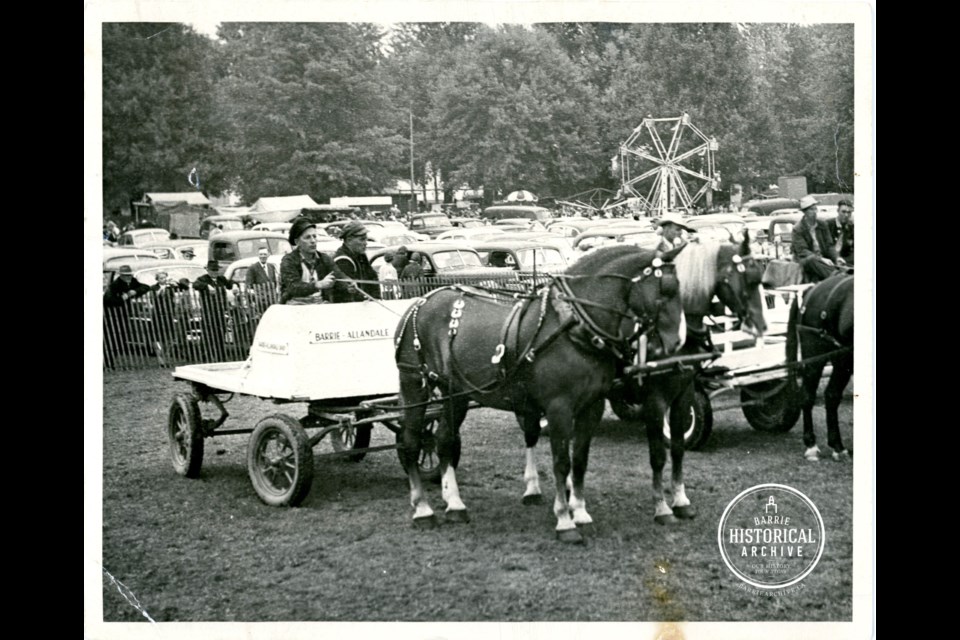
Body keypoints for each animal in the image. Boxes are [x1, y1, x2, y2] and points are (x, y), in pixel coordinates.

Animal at [394, 245, 688, 540]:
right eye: (665, 291)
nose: (676, 343)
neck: (574, 326)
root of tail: (422, 301)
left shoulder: (591, 406)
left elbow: (580, 459)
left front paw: (580, 512)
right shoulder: (559, 408)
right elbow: (561, 463)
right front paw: (565, 520)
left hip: (456, 392)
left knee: (445, 439)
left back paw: (454, 504)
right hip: (414, 383)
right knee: (411, 442)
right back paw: (423, 509)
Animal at [520, 236, 768, 524]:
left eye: (759, 277)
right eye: (739, 278)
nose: (760, 325)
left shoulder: (684, 393)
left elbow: (678, 448)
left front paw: (681, 500)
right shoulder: (655, 399)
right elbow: (658, 455)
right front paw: (662, 507)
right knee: (531, 433)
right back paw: (532, 486)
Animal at [788, 274, 856, 460]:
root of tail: (812, 288)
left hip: (843, 361)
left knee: (831, 395)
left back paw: (837, 446)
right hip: (815, 357)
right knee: (807, 396)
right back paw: (811, 445)